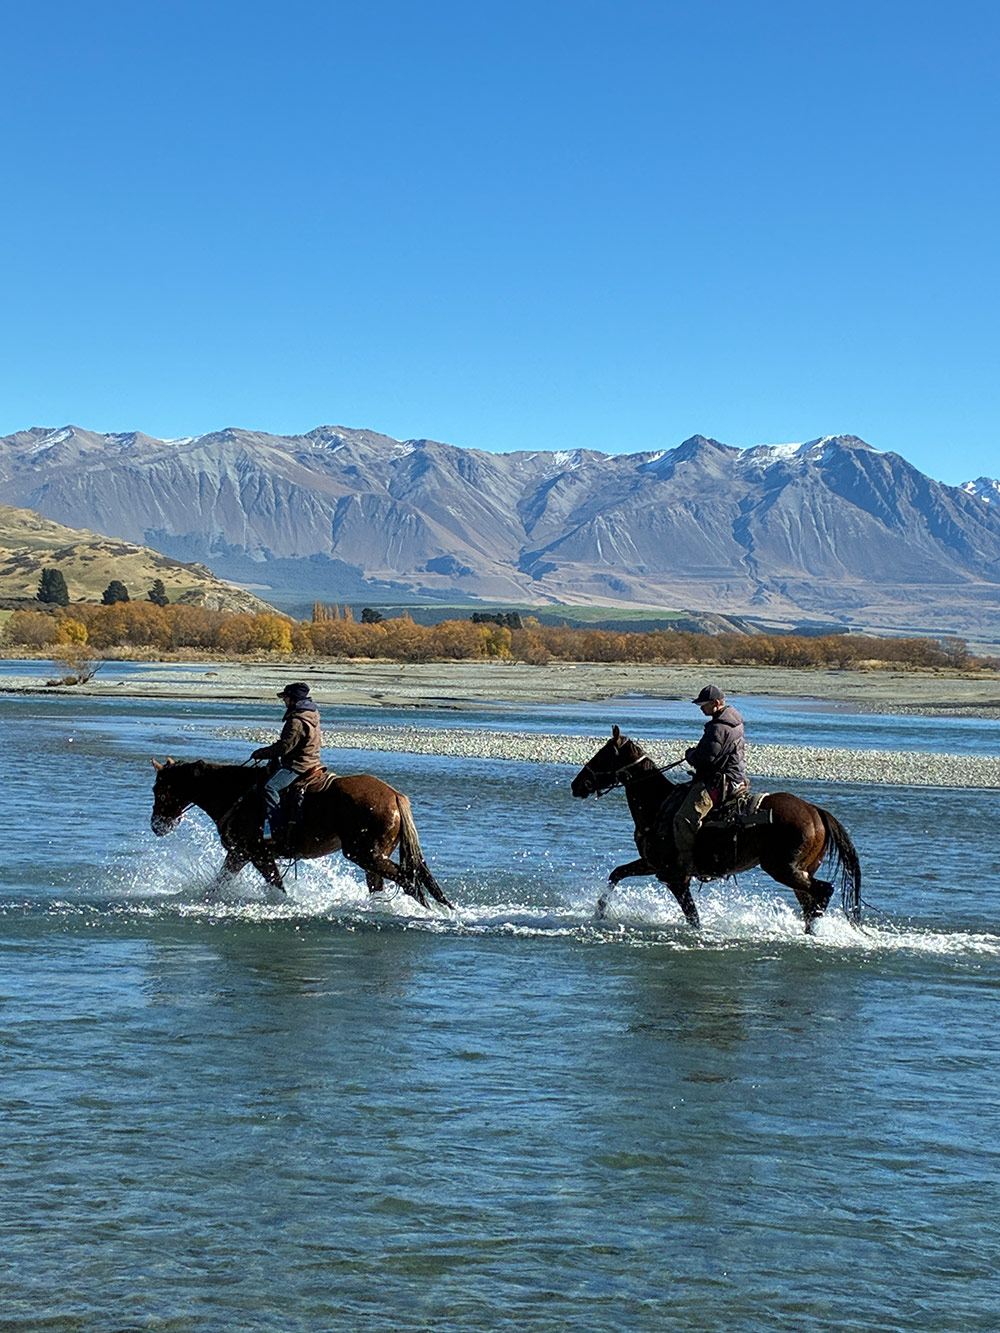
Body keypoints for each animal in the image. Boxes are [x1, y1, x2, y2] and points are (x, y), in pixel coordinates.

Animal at [150, 758, 453, 909]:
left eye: (158, 789)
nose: (156, 825)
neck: (235, 793)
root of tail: (394, 796)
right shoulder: (242, 854)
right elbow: (219, 883)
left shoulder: (254, 853)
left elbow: (274, 885)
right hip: (373, 858)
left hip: (365, 854)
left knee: (409, 880)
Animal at [571, 727, 861, 933]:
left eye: (602, 756)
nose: (577, 785)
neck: (658, 803)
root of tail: (816, 812)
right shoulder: (650, 865)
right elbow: (617, 874)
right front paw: (598, 913)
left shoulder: (675, 877)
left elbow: (693, 917)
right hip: (800, 872)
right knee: (810, 902)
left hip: (785, 870)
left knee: (822, 893)